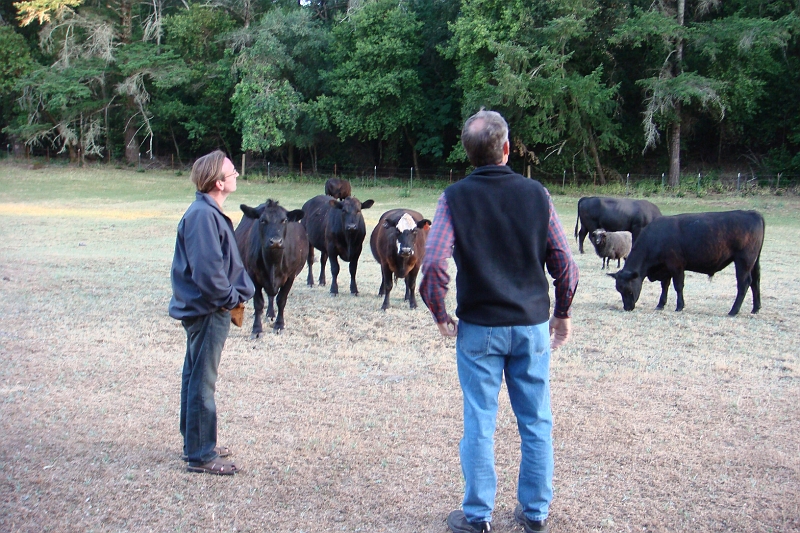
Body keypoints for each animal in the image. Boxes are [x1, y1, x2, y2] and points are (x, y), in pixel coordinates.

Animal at [234, 197, 310, 334]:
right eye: (262, 220)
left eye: (284, 220)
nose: (275, 241)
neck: (273, 263)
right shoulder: (253, 274)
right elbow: (258, 302)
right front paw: (256, 328)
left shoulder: (290, 276)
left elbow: (281, 300)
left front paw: (279, 325)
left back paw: (271, 314)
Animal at [608, 209, 764, 316]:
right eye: (618, 289)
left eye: (628, 290)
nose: (627, 308)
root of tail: (752, 213)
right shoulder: (665, 268)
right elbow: (664, 286)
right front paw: (660, 304)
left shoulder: (676, 265)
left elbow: (678, 286)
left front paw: (679, 306)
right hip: (754, 262)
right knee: (755, 282)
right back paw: (755, 308)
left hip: (743, 261)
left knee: (744, 283)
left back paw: (733, 311)